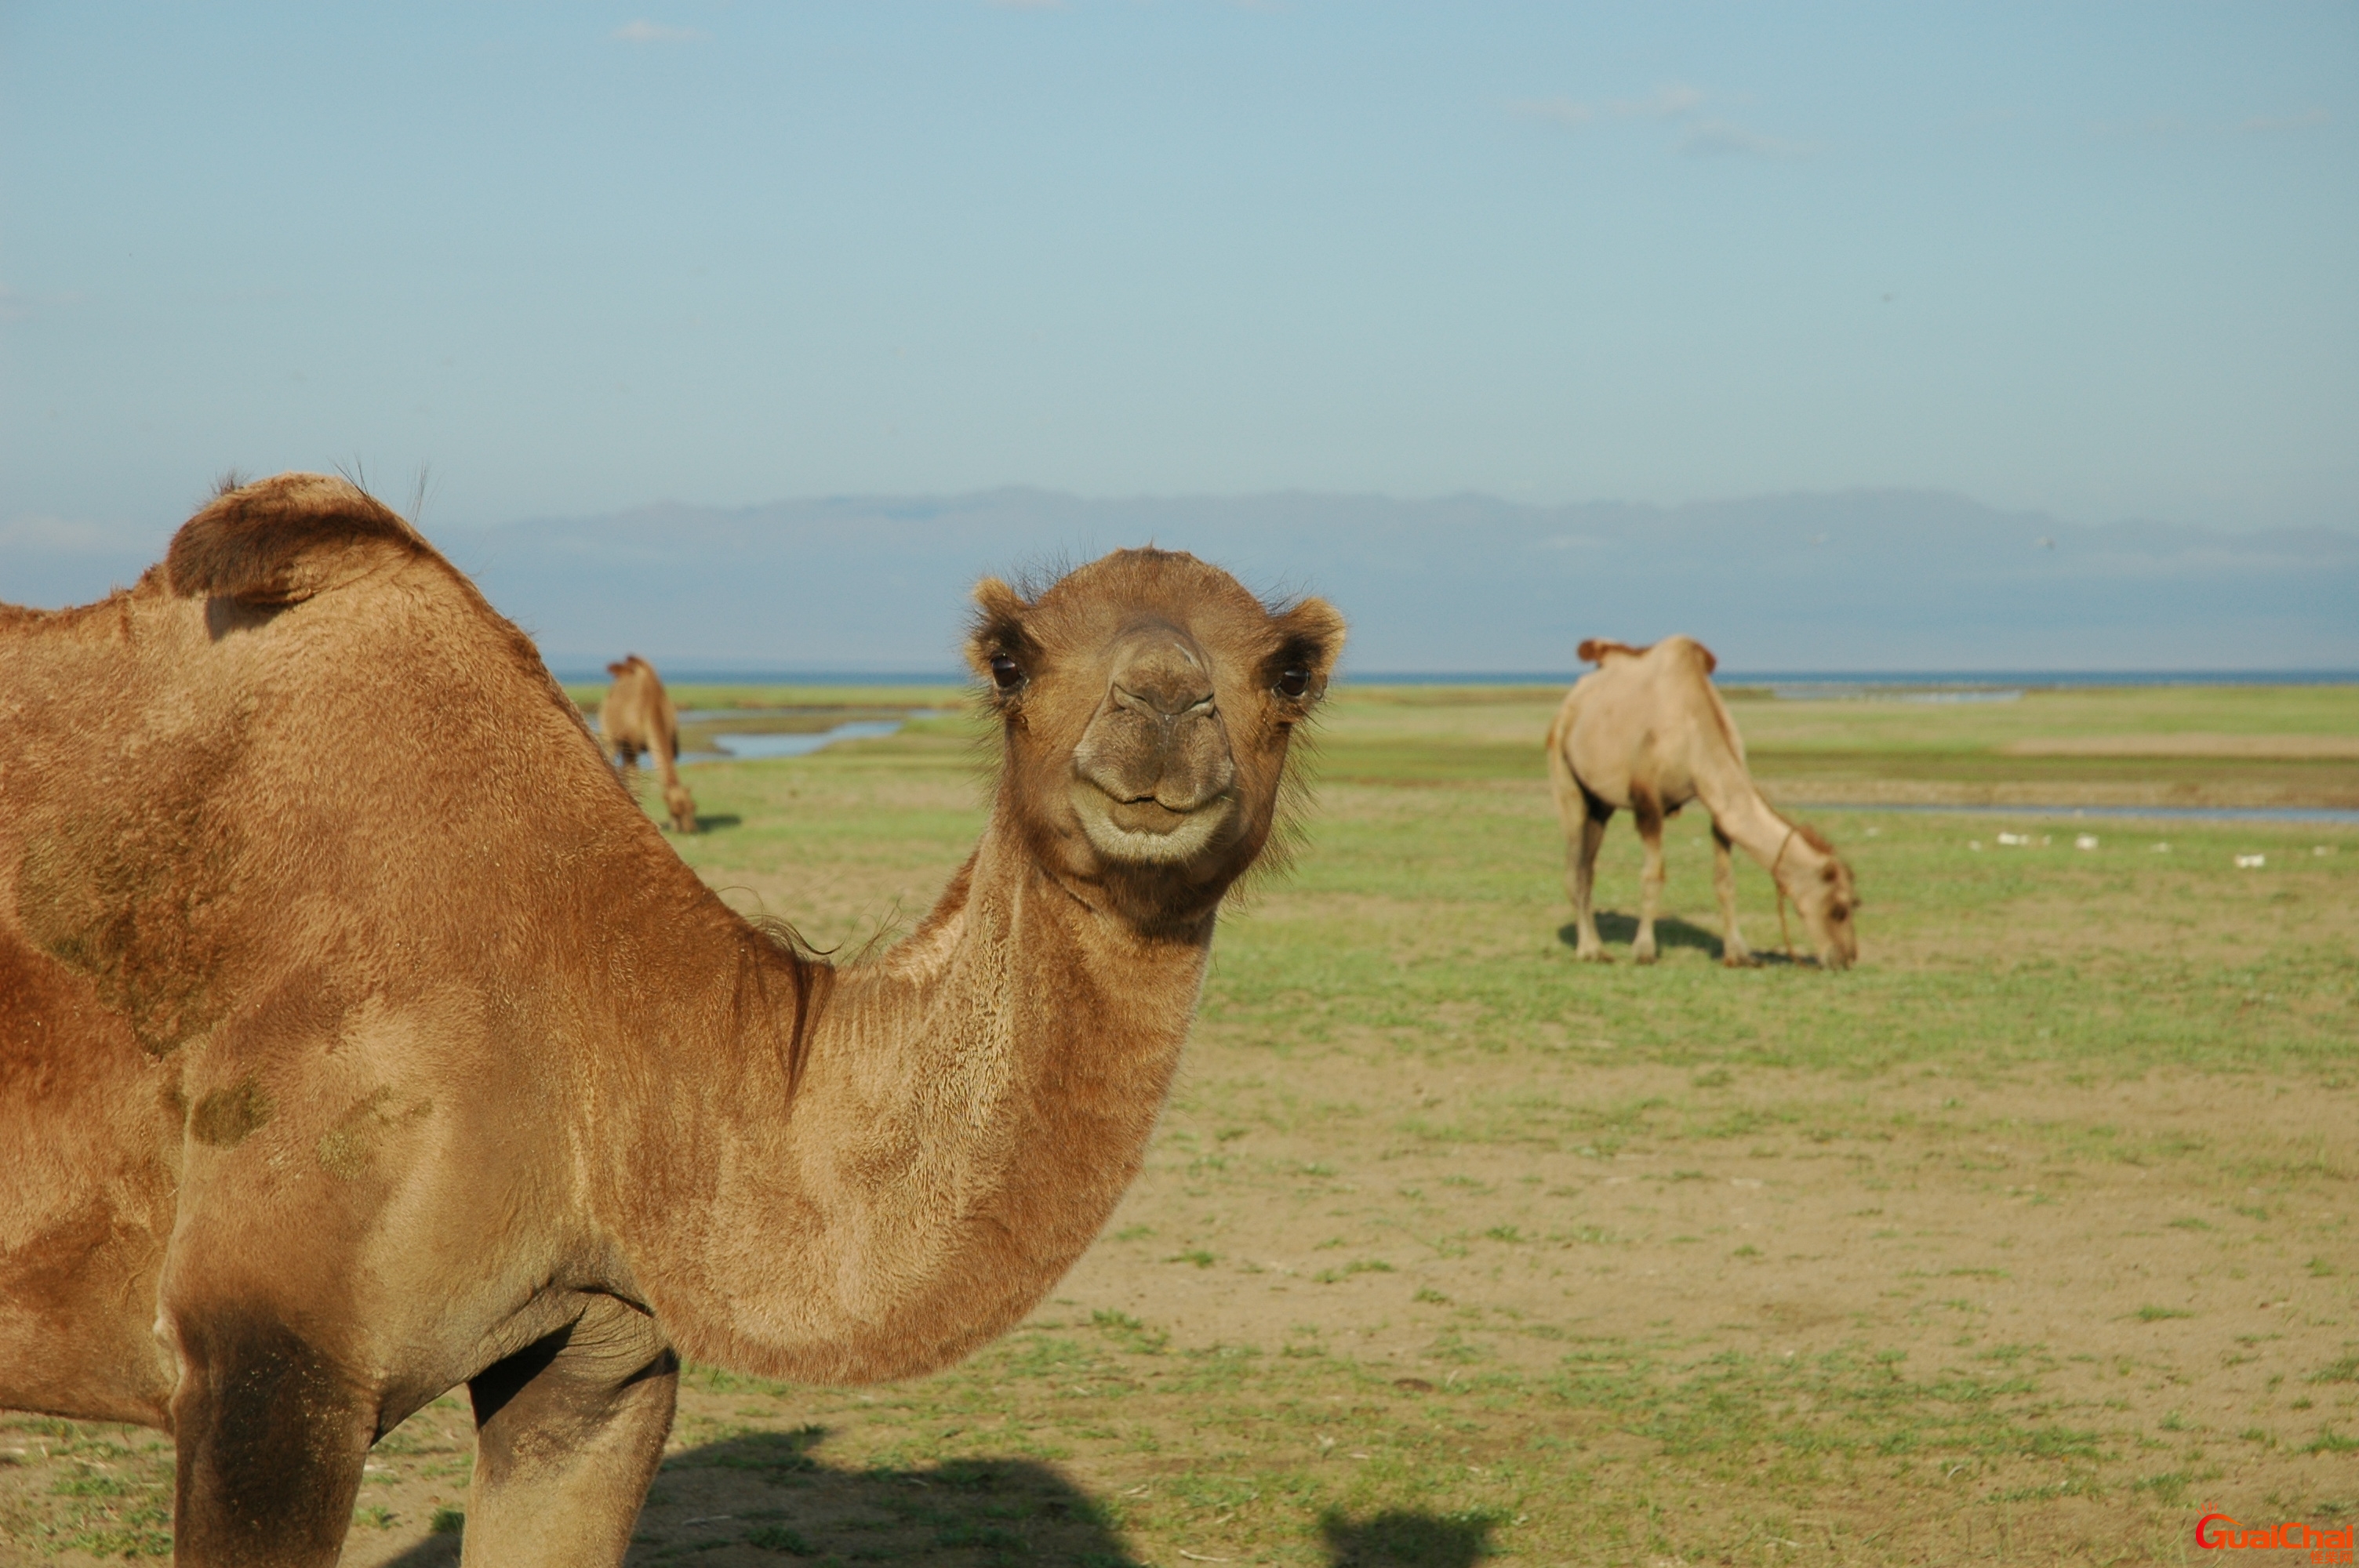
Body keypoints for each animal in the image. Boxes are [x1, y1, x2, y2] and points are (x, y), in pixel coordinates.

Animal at [594, 651, 693, 829]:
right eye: (675, 810)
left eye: (693, 807)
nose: (690, 829)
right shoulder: (632, 744)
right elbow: (636, 782)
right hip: (610, 733)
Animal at [1547, 632, 1859, 967]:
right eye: (1839, 909)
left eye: (1852, 905)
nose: (1847, 956)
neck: (1694, 729)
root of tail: (1572, 702)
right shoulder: (1647, 801)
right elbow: (1652, 876)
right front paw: (1644, 950)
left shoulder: (1717, 804)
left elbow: (1725, 881)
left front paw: (1738, 953)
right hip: (1564, 773)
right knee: (1575, 866)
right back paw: (1591, 949)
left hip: (1600, 803)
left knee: (1587, 864)